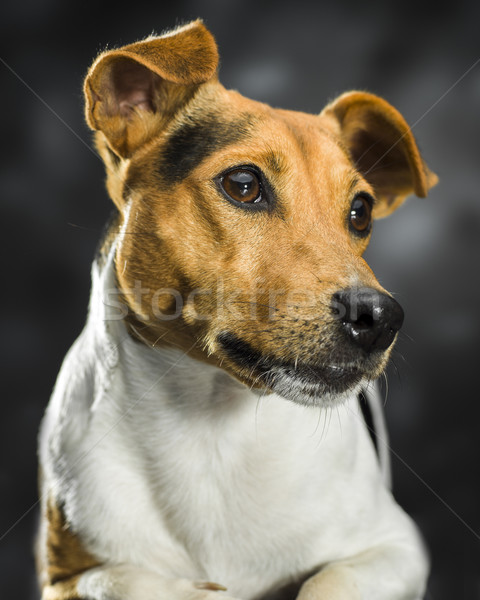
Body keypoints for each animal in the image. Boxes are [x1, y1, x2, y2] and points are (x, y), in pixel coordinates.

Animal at [35, 18, 436, 600]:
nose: (381, 318)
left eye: (361, 211)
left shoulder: (396, 547)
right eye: (243, 185)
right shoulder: (68, 575)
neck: (211, 427)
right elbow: (137, 582)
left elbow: (328, 583)